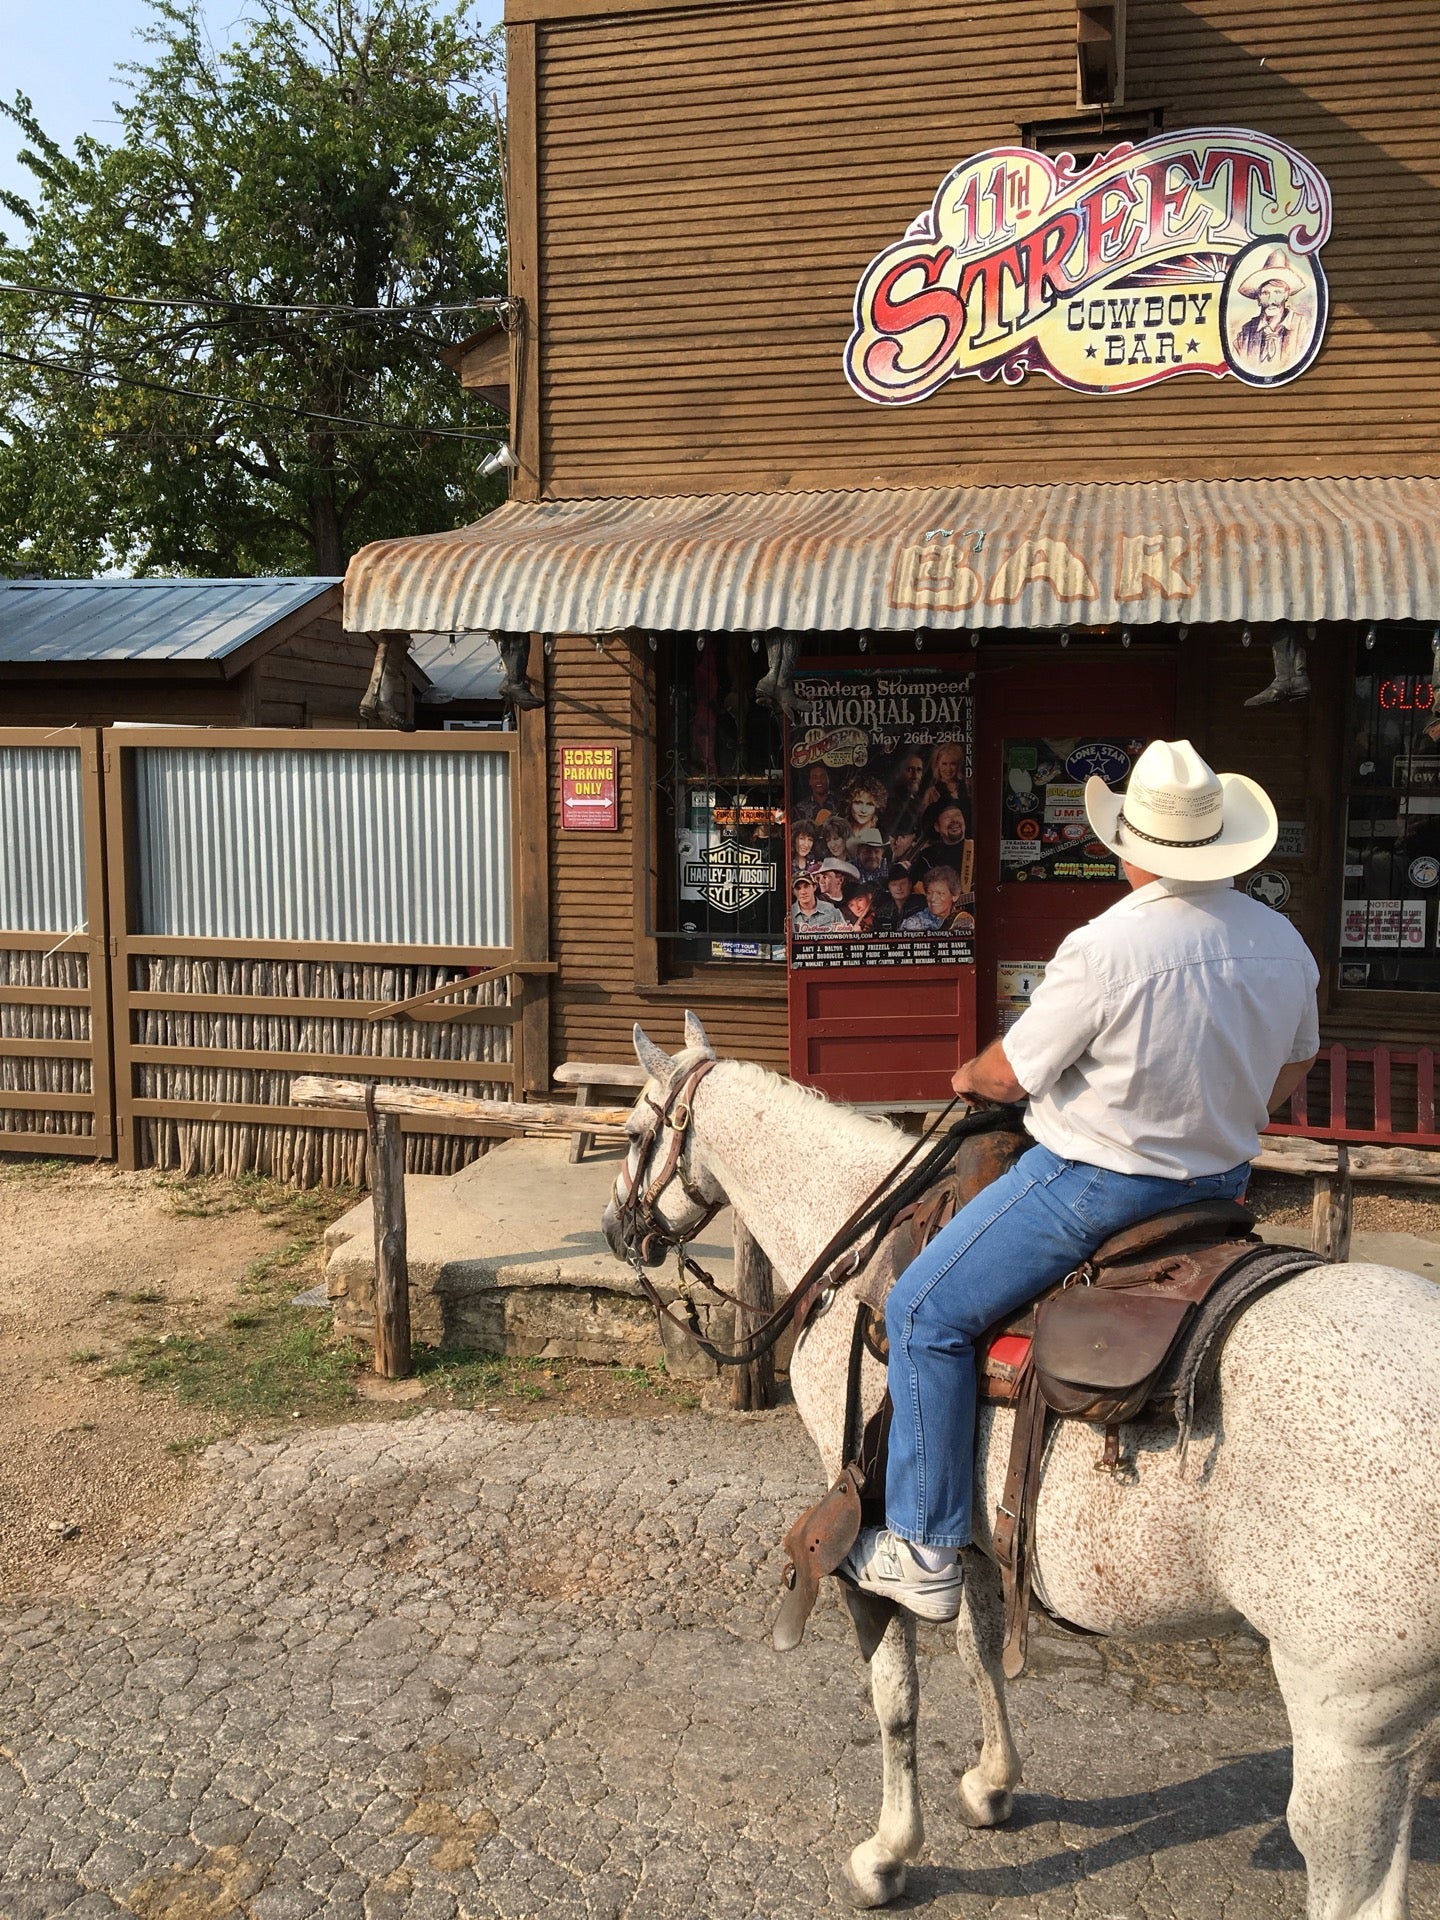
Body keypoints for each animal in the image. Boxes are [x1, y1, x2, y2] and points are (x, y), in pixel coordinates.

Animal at [599, 1013, 1440, 1912]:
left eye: (634, 1131)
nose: (617, 1229)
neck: (859, 1252)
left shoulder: (857, 1521)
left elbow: (895, 1696)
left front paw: (887, 1854)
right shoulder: (969, 1529)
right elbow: (979, 1647)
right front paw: (993, 1784)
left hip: (1349, 1722)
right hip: (1403, 1725)